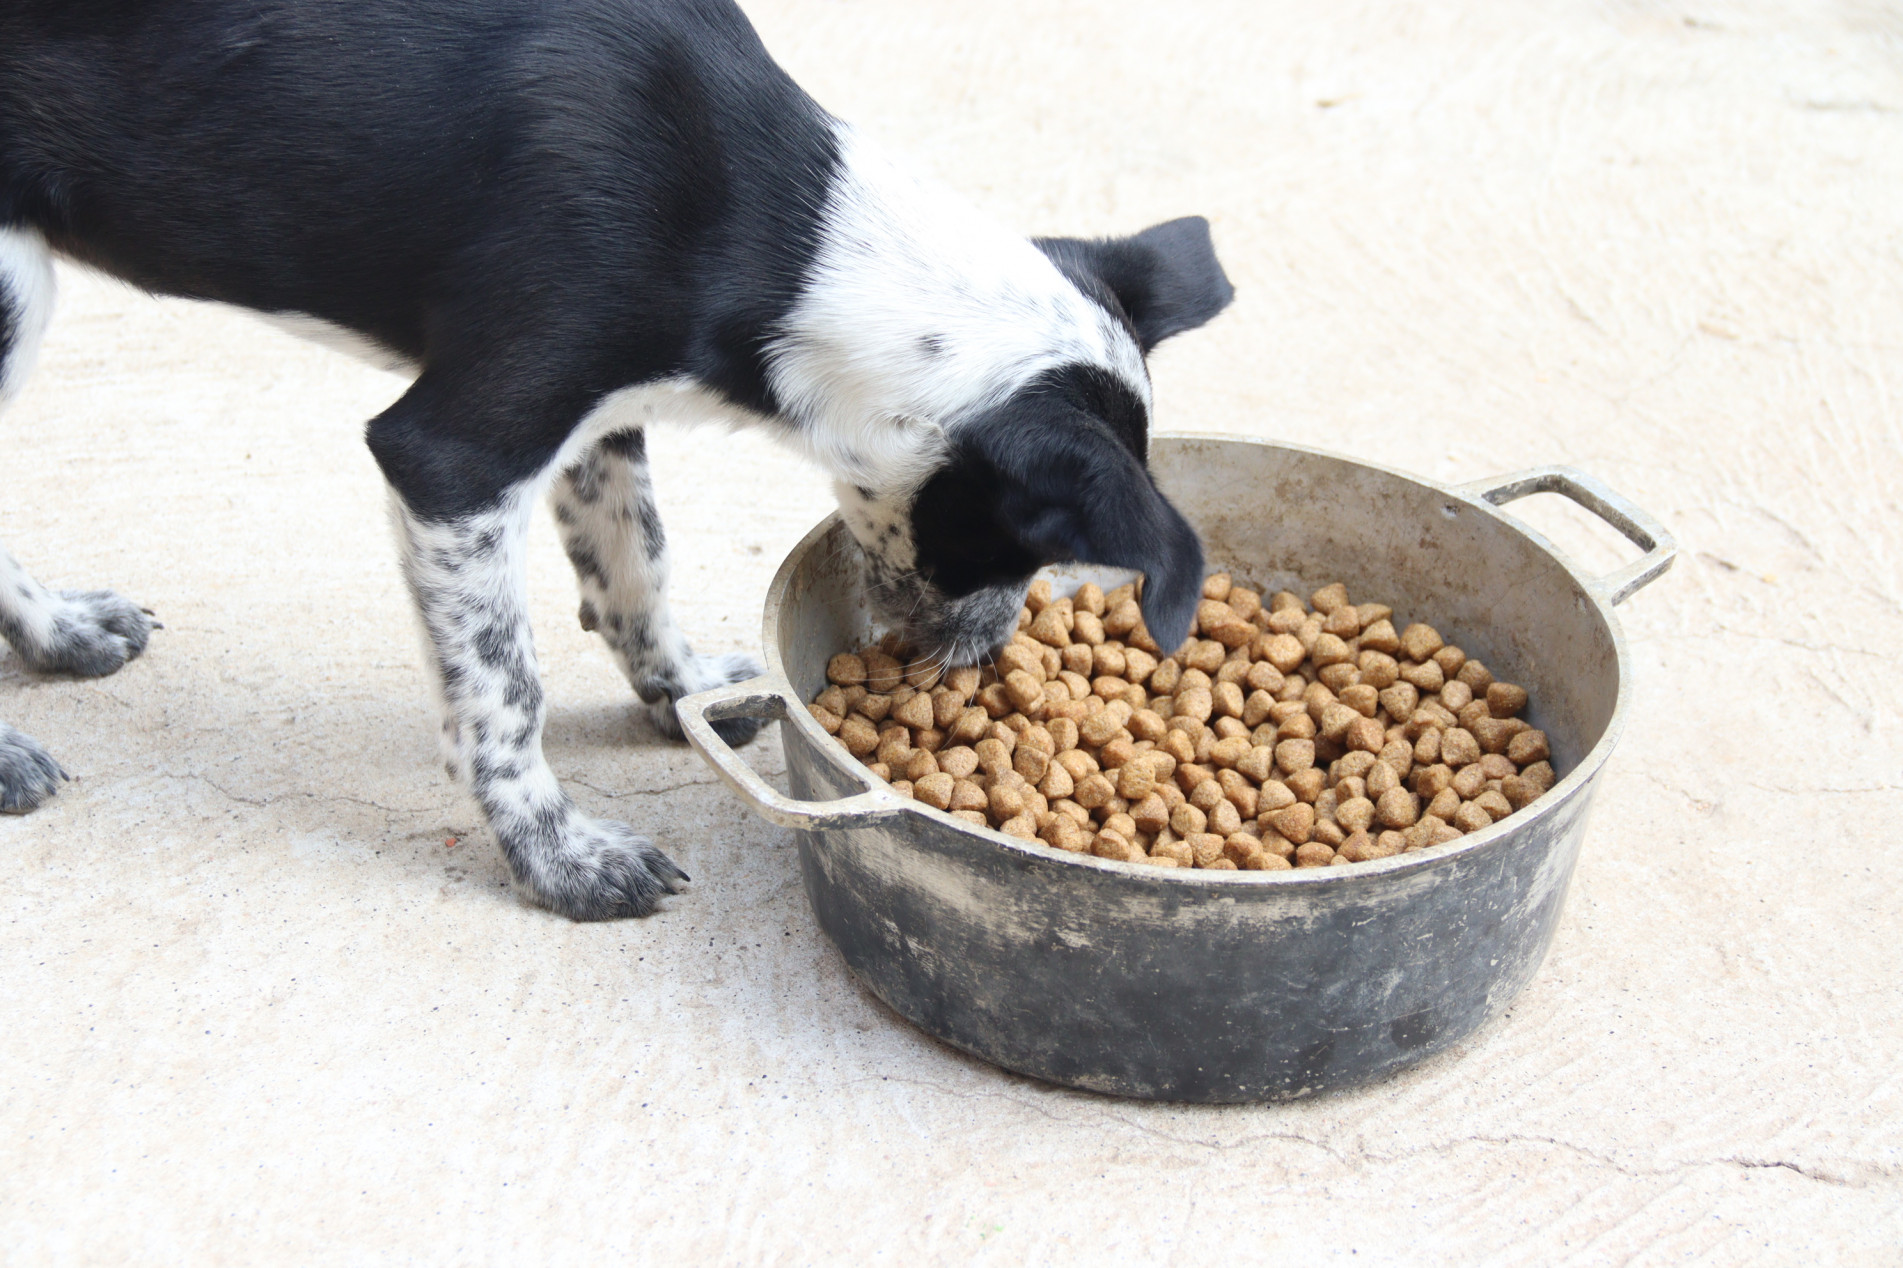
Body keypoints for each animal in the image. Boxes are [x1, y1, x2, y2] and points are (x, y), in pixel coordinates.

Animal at [0, 0, 1240, 913]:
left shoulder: (597, 410)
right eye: (1023, 546)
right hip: (12, 291)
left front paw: (681, 689)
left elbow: (635, 554)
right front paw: (560, 857)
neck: (781, 234)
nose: (984, 654)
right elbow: (504, 686)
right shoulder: (454, 454)